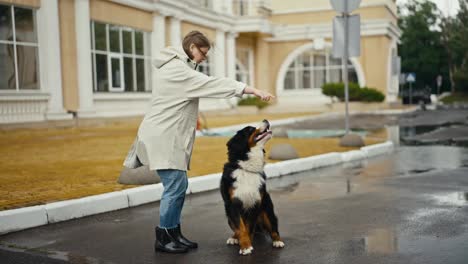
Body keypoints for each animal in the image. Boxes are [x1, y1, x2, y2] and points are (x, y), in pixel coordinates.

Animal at [220, 120, 286, 256]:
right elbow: (241, 227)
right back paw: (234, 238)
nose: (266, 120)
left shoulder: (256, 203)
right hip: (228, 215)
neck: (247, 169)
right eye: (250, 129)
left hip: (267, 209)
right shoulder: (233, 204)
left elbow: (249, 227)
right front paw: (245, 245)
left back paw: (277, 241)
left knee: (273, 227)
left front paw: (247, 244)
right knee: (235, 228)